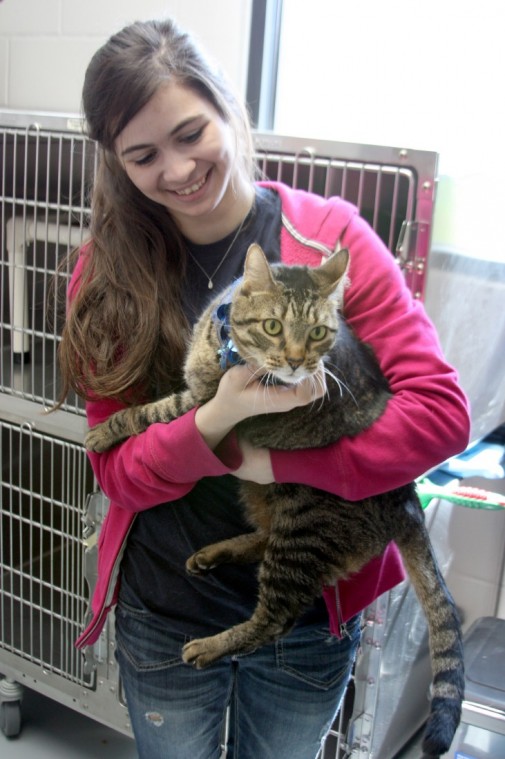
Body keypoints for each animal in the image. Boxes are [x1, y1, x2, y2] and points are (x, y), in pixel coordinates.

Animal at [85, 245, 460, 759]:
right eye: (273, 326)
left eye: (318, 333)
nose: (297, 363)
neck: (223, 344)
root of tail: (406, 498)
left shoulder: (201, 404)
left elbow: (151, 412)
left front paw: (107, 429)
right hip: (263, 496)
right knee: (262, 539)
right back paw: (214, 553)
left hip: (303, 524)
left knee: (275, 617)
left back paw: (210, 645)